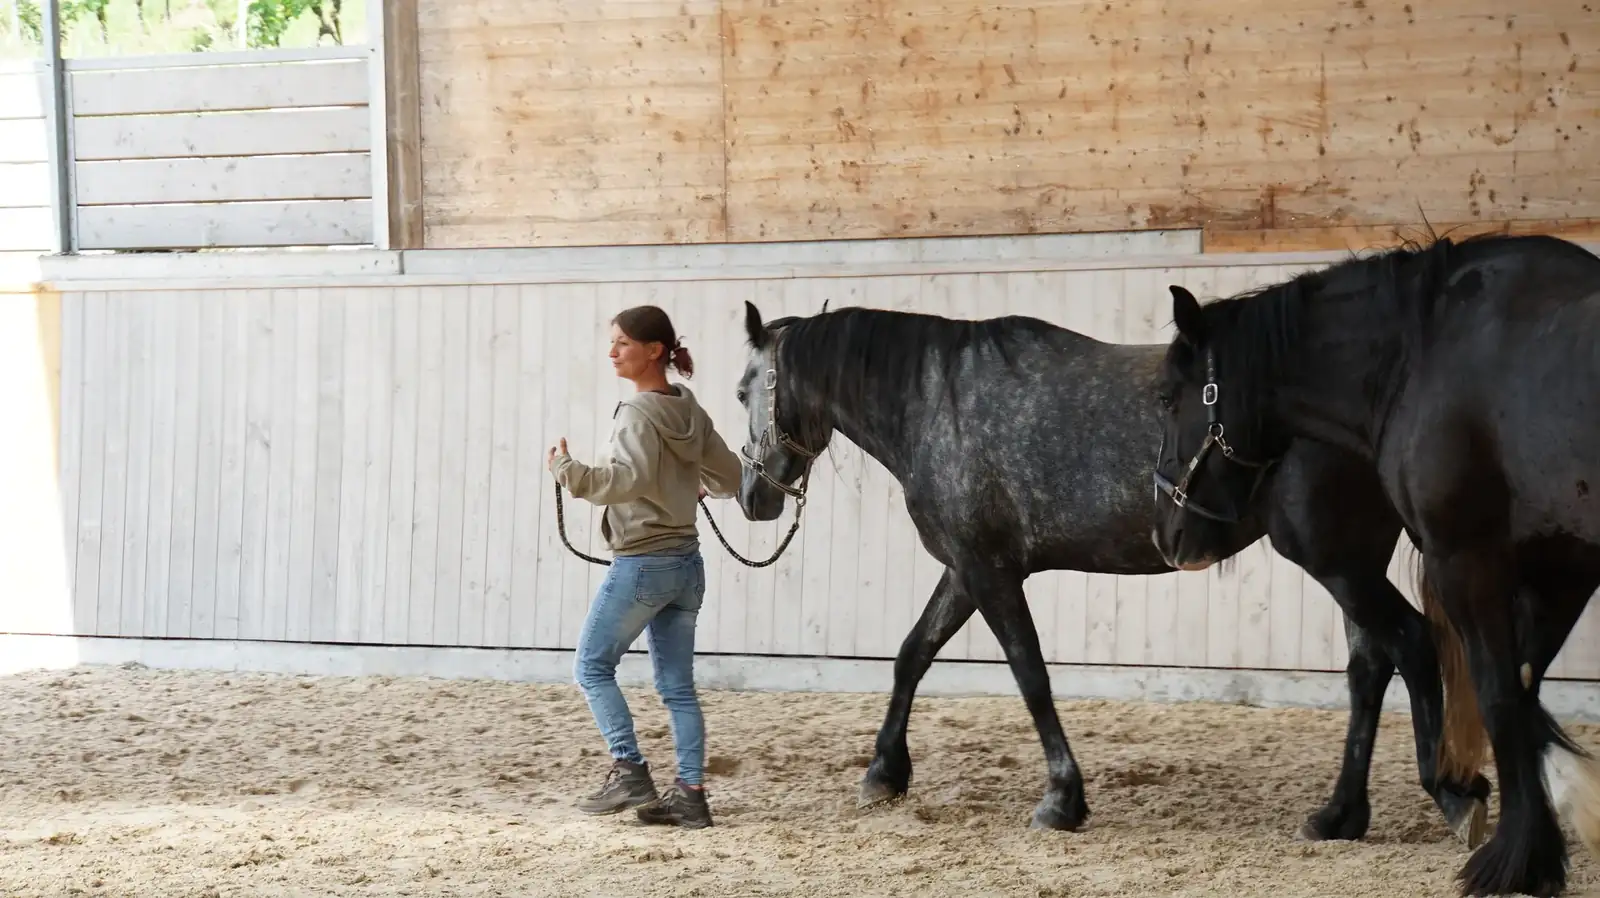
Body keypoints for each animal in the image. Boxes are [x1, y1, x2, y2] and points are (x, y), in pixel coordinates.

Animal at [730, 299, 1490, 844]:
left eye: (742, 390)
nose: (754, 497)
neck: (937, 405)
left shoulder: (988, 572)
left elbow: (1029, 675)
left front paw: (1062, 799)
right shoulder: (968, 568)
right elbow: (912, 654)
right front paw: (884, 772)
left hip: (1334, 560)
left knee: (1411, 644)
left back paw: (1453, 796)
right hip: (1348, 562)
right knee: (1371, 668)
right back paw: (1339, 817)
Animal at [1147, 233, 1600, 896]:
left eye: (1167, 398)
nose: (1168, 534)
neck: (1425, 355)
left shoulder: (1465, 557)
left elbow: (1497, 694)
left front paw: (1510, 858)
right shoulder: (1561, 569)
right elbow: (1520, 692)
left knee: (1402, 646)